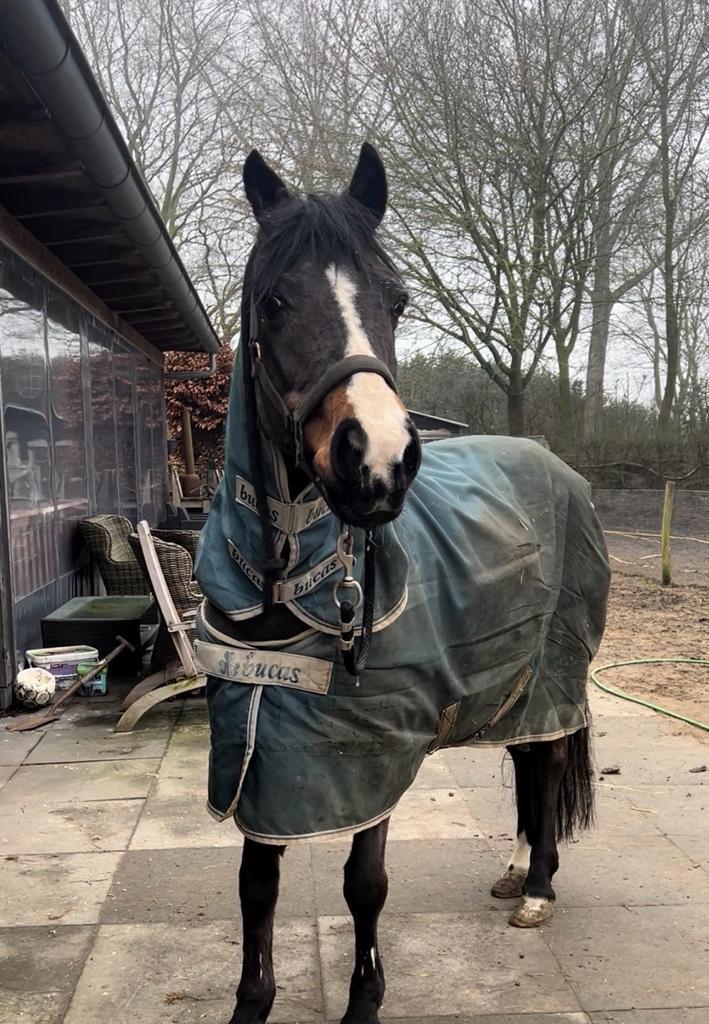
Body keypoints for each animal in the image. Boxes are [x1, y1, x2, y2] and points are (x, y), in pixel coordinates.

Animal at [194, 143, 611, 1024]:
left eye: (397, 300)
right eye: (274, 300)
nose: (378, 459)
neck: (291, 587)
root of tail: (556, 465)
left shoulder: (373, 753)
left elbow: (364, 884)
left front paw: (364, 1002)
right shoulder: (257, 749)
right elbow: (255, 888)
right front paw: (252, 1003)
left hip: (556, 672)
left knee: (547, 762)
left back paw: (541, 887)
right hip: (511, 682)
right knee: (527, 765)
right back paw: (518, 870)